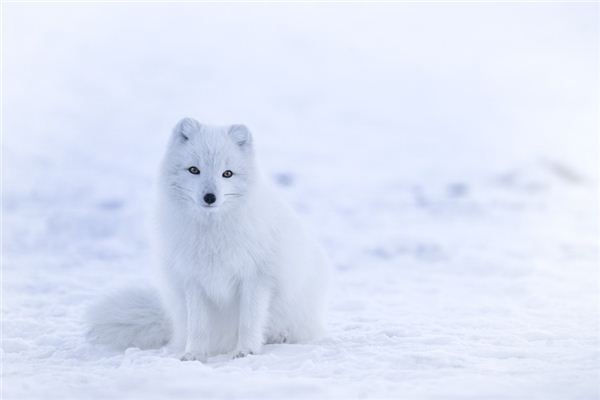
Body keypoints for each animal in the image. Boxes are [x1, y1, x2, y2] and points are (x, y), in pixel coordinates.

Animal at [88, 117, 332, 360]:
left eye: (227, 173)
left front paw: (246, 350)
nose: (210, 197)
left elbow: (249, 321)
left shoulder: (256, 277)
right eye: (194, 170)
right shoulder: (193, 279)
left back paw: (279, 336)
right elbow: (198, 326)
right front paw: (194, 354)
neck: (212, 233)